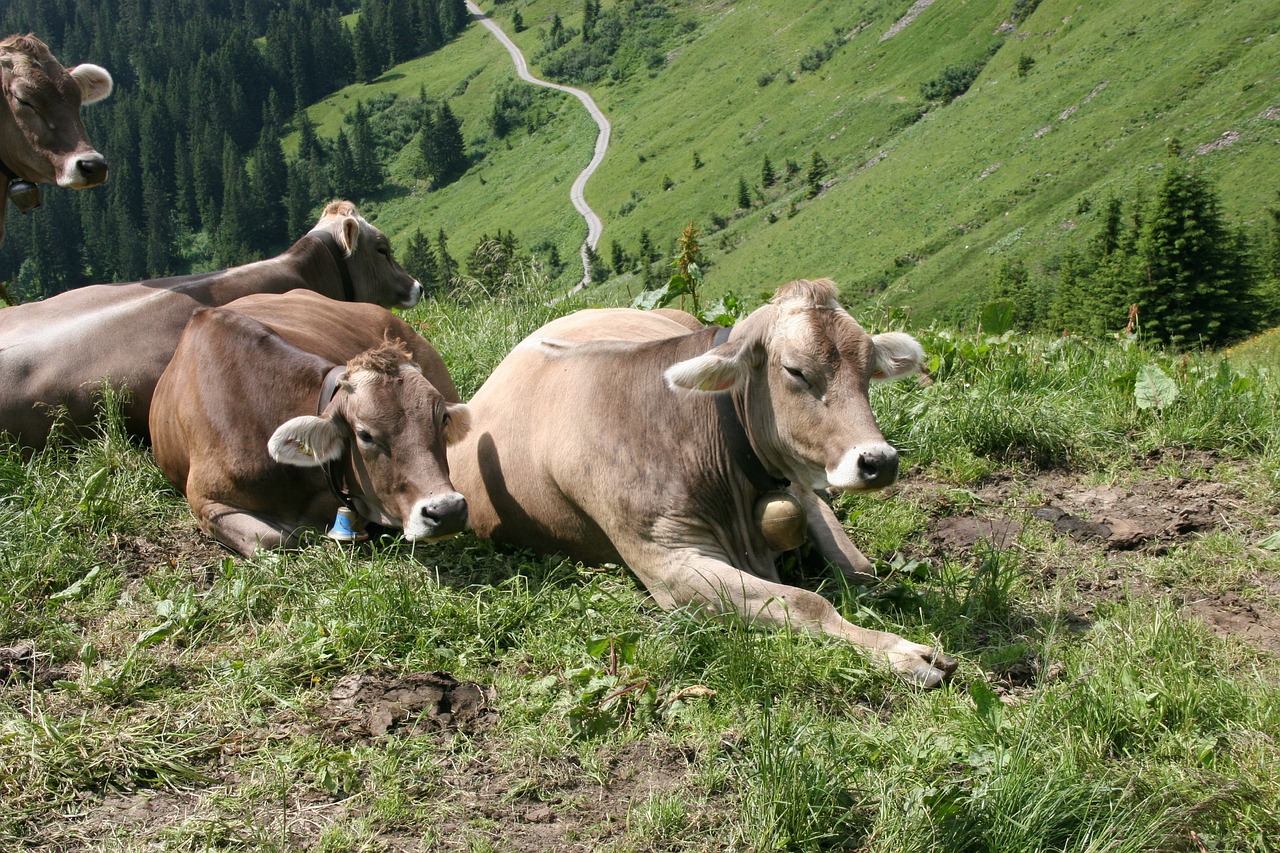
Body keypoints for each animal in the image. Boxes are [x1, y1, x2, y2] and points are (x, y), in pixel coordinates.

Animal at [450, 279, 962, 686]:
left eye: (867, 369)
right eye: (795, 371)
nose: (879, 462)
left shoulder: (797, 481)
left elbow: (859, 568)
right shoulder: (670, 565)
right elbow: (806, 603)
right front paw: (905, 652)